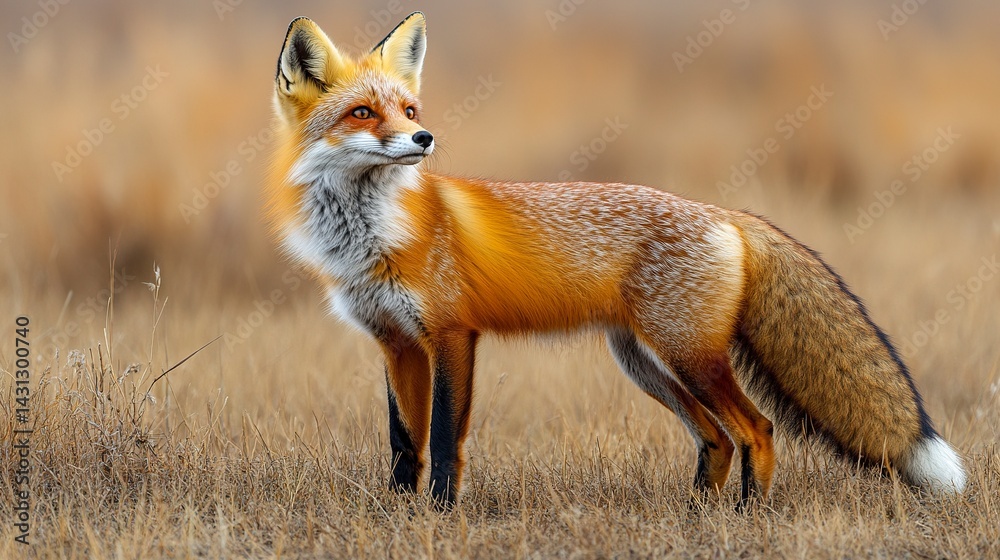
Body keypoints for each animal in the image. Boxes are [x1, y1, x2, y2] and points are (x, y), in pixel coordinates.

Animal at [266, 12, 966, 508]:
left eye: (409, 110)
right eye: (363, 113)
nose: (423, 138)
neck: (373, 236)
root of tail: (724, 213)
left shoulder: (451, 335)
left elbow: (442, 441)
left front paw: (438, 515)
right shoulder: (396, 343)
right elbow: (402, 443)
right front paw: (399, 514)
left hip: (688, 355)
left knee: (758, 428)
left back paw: (747, 518)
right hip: (645, 363)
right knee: (716, 436)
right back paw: (698, 515)